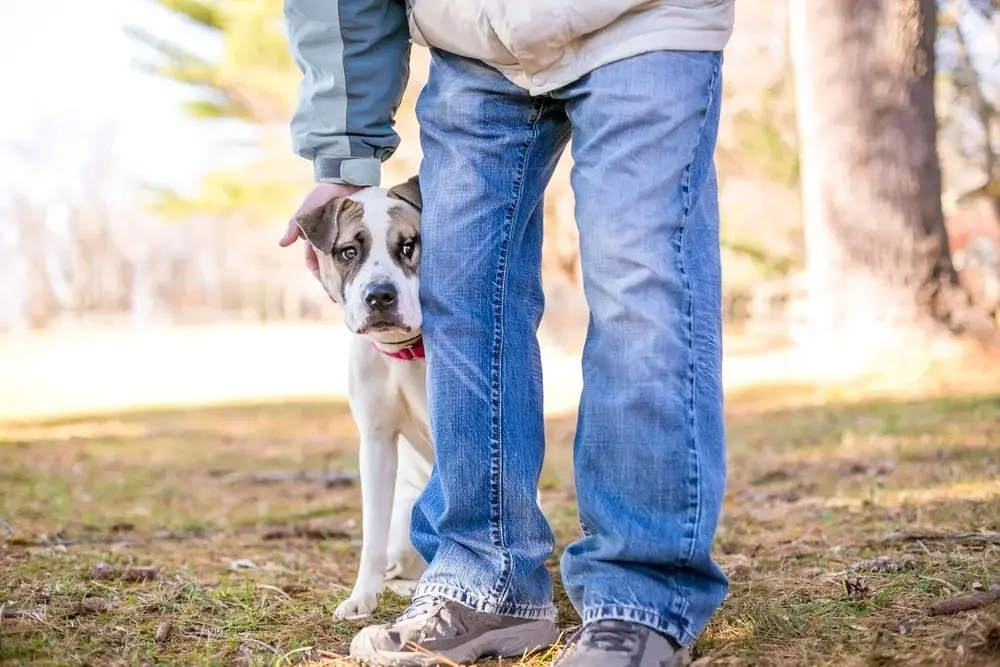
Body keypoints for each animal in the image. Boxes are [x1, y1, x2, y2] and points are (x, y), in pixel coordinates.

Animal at [292, 177, 434, 620]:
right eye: (348, 252)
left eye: (408, 246)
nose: (380, 296)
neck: (406, 354)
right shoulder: (376, 443)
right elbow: (372, 537)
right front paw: (361, 598)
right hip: (403, 526)